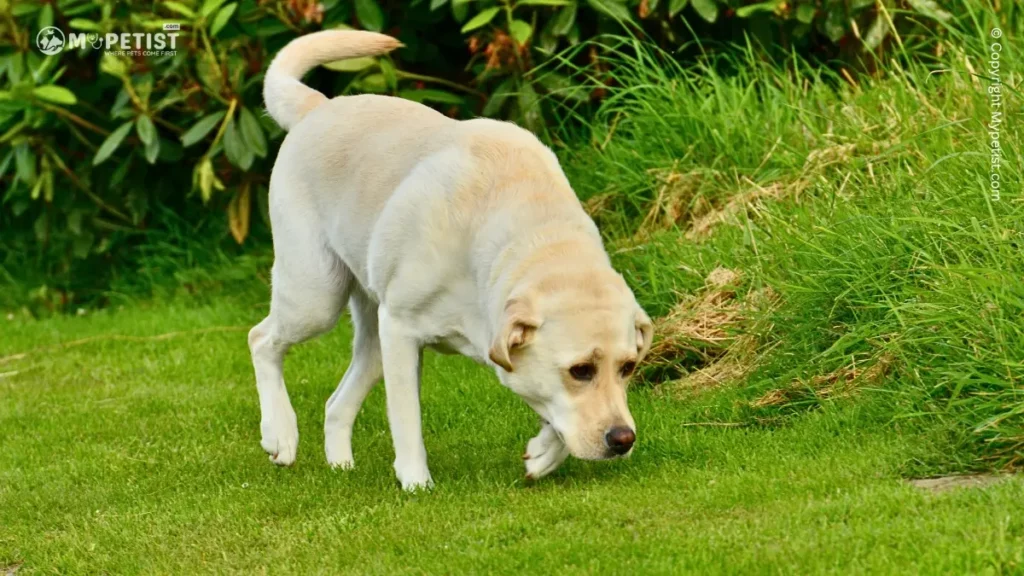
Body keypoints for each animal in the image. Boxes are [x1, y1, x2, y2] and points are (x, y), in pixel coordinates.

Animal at [250, 30, 651, 487]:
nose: (623, 439)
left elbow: (552, 411)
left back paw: (340, 466)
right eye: (581, 370)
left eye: (628, 367)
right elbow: (407, 419)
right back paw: (280, 434)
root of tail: (317, 106)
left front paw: (544, 455)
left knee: (336, 403)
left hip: (371, 336)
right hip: (316, 297)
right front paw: (415, 483)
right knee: (261, 340)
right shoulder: (401, 331)